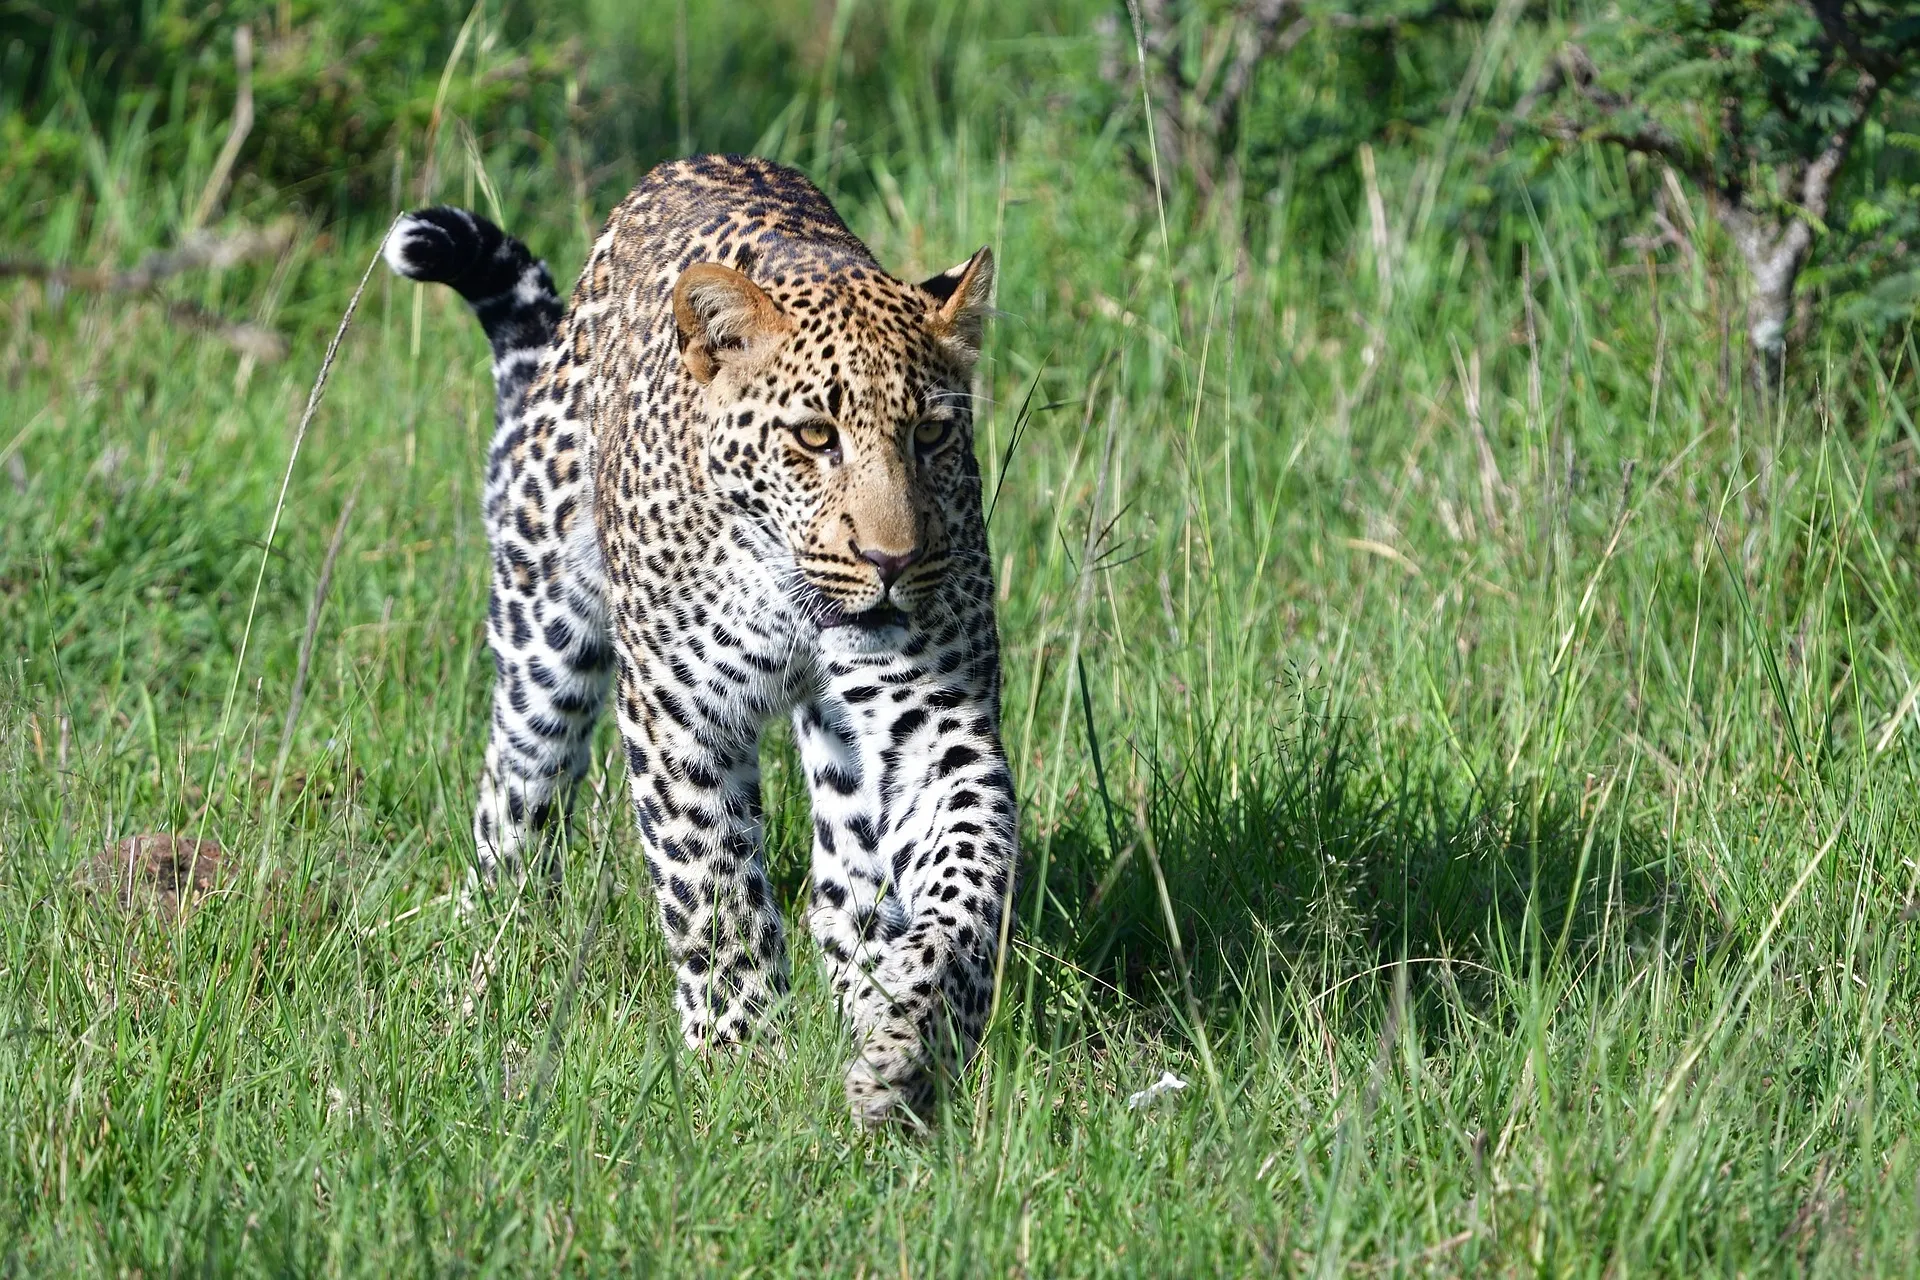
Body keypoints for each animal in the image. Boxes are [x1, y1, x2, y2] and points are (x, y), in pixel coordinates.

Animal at [385, 155, 1021, 1128]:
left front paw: (907, 1044)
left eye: (932, 433)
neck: (790, 594)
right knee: (514, 806)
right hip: (543, 638)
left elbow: (969, 883)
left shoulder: (935, 721)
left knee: (844, 881)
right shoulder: (680, 717)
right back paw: (489, 961)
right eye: (814, 435)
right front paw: (742, 1059)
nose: (891, 561)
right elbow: (713, 893)